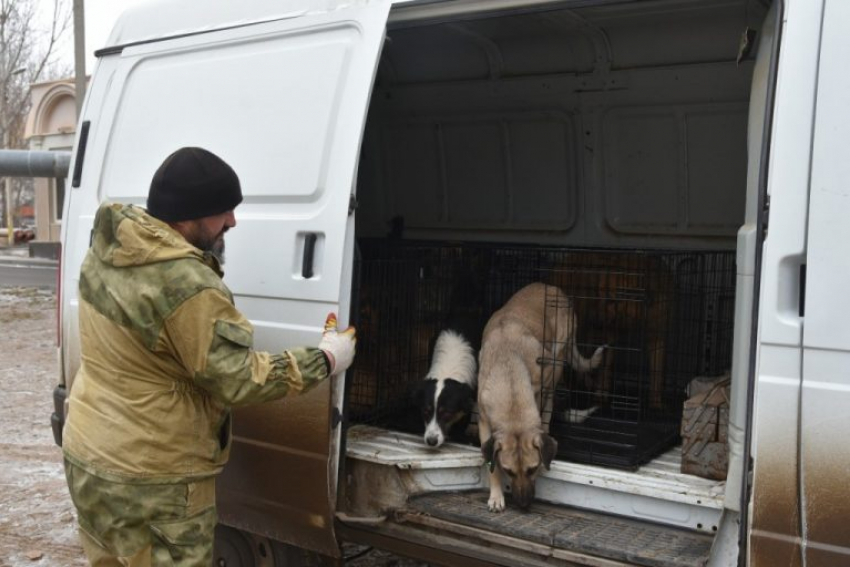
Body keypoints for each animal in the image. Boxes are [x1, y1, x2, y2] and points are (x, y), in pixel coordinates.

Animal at [476, 284, 604, 516]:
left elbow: (543, 410)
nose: (523, 504)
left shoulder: (546, 376)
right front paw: (496, 497)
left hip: (559, 355)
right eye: (508, 471)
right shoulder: (484, 421)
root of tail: (554, 289)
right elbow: (491, 464)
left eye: (532, 469)